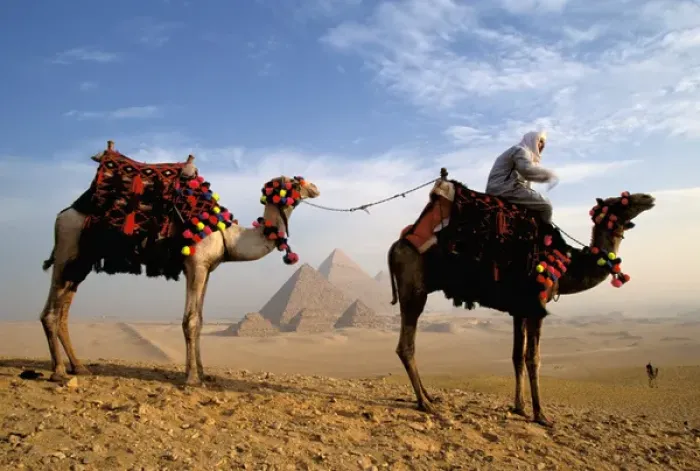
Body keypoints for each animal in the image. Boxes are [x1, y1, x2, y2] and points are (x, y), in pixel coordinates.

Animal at [40, 141, 320, 386]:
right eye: (296, 181)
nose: (316, 187)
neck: (227, 234)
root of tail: (63, 213)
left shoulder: (206, 269)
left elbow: (200, 319)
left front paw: (202, 372)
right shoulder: (195, 265)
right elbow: (191, 321)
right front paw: (193, 378)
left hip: (82, 262)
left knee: (63, 310)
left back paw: (79, 366)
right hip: (67, 248)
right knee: (51, 312)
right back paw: (59, 371)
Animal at [387, 174, 655, 427]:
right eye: (620, 201)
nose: (648, 197)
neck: (566, 264)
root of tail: (395, 247)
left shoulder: (520, 308)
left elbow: (517, 355)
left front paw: (520, 407)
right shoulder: (537, 304)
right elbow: (533, 358)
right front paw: (540, 414)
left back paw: (429, 396)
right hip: (414, 287)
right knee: (405, 345)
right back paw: (423, 402)